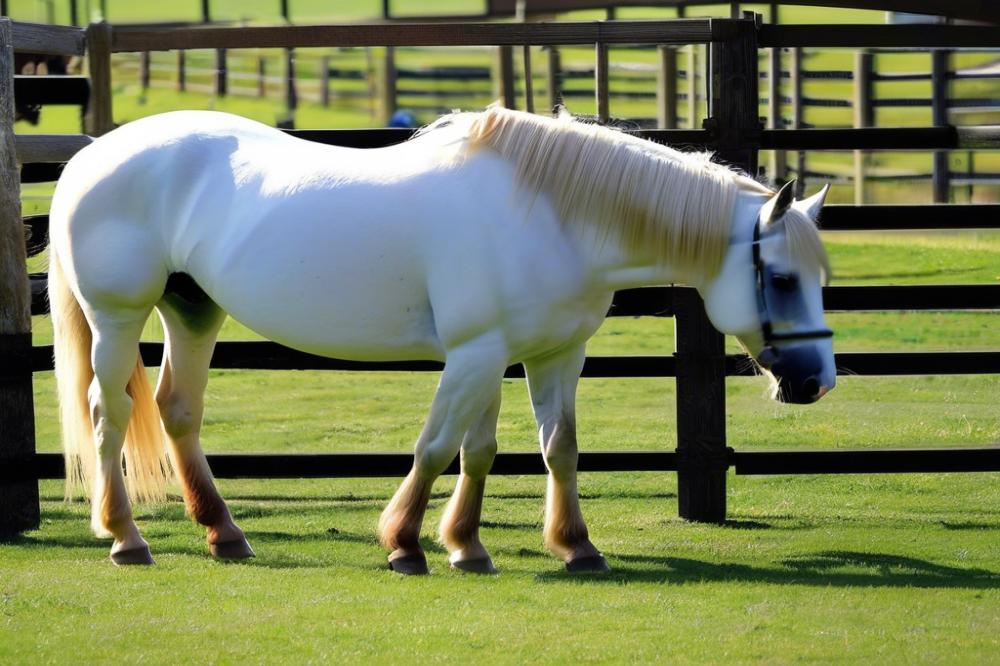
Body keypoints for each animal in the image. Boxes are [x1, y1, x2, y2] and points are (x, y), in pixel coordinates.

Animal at [47, 105, 832, 572]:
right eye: (782, 278)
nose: (815, 381)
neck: (550, 215)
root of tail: (92, 157)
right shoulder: (476, 354)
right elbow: (435, 445)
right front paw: (405, 544)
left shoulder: (541, 355)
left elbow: (532, 450)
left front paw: (542, 545)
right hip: (118, 317)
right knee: (109, 414)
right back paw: (126, 537)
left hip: (194, 311)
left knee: (178, 411)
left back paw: (225, 535)